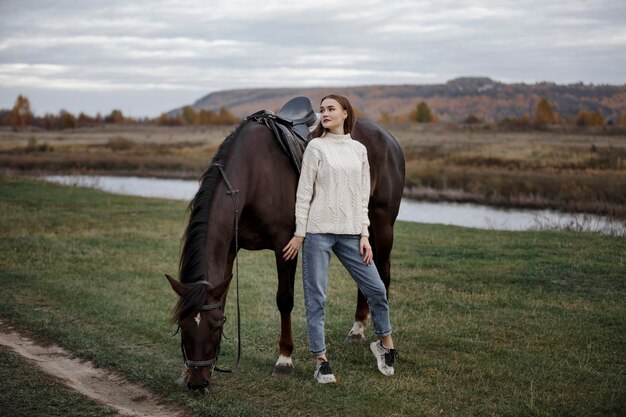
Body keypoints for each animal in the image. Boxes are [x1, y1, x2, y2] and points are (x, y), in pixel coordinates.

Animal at [166, 113, 402, 390]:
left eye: (214, 327)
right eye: (182, 326)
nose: (197, 383)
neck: (253, 175)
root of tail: (388, 138)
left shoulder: (284, 246)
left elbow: (285, 300)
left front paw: (285, 359)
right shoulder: (229, 250)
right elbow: (222, 299)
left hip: (382, 223)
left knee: (383, 275)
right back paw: (357, 329)